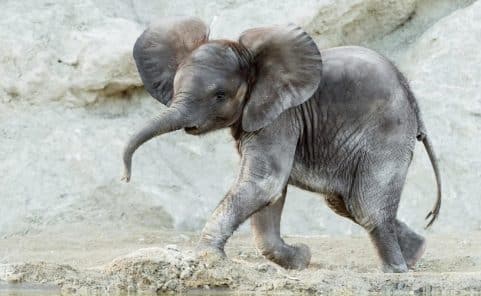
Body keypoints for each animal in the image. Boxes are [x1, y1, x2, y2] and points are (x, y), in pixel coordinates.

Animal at [122, 16, 440, 272]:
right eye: (176, 87)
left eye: (220, 95)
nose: (125, 177)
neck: (254, 63)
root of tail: (412, 99)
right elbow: (271, 191)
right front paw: (301, 258)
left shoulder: (281, 117)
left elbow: (265, 183)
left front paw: (207, 258)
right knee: (345, 202)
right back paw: (415, 253)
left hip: (388, 132)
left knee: (364, 205)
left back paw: (395, 271)